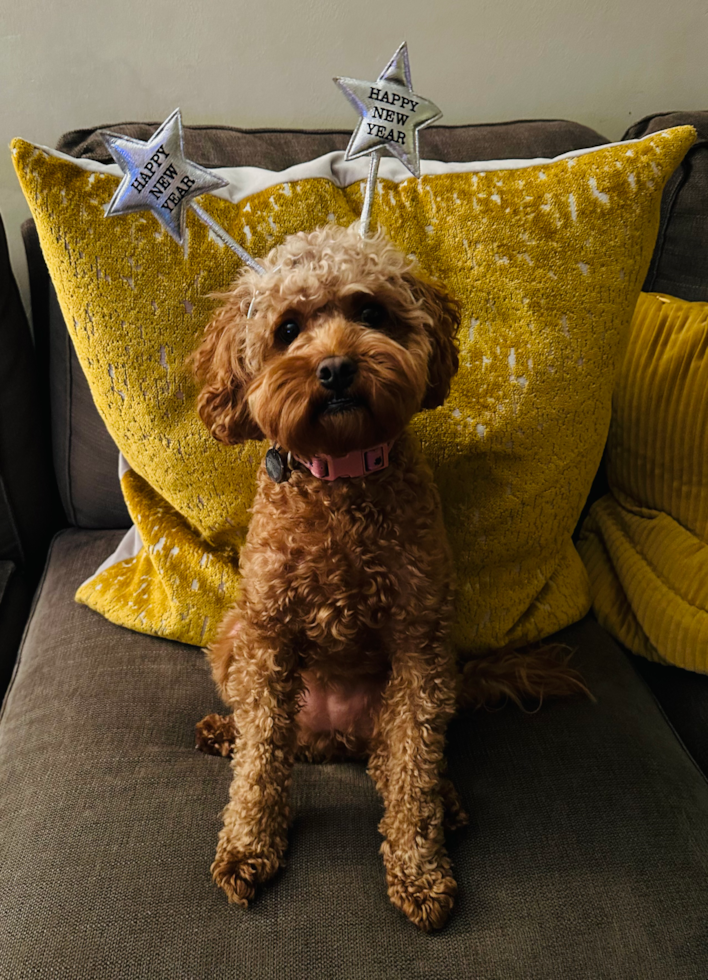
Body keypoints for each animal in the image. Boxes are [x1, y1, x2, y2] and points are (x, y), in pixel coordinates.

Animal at [191, 224, 588, 936]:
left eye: (369, 311)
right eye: (287, 329)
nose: (336, 368)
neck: (342, 479)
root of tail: (331, 734)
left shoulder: (420, 642)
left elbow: (412, 771)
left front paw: (419, 869)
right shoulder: (268, 633)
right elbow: (259, 761)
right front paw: (246, 847)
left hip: (421, 688)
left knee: (395, 758)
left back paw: (445, 802)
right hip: (234, 637)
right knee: (273, 738)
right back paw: (224, 733)